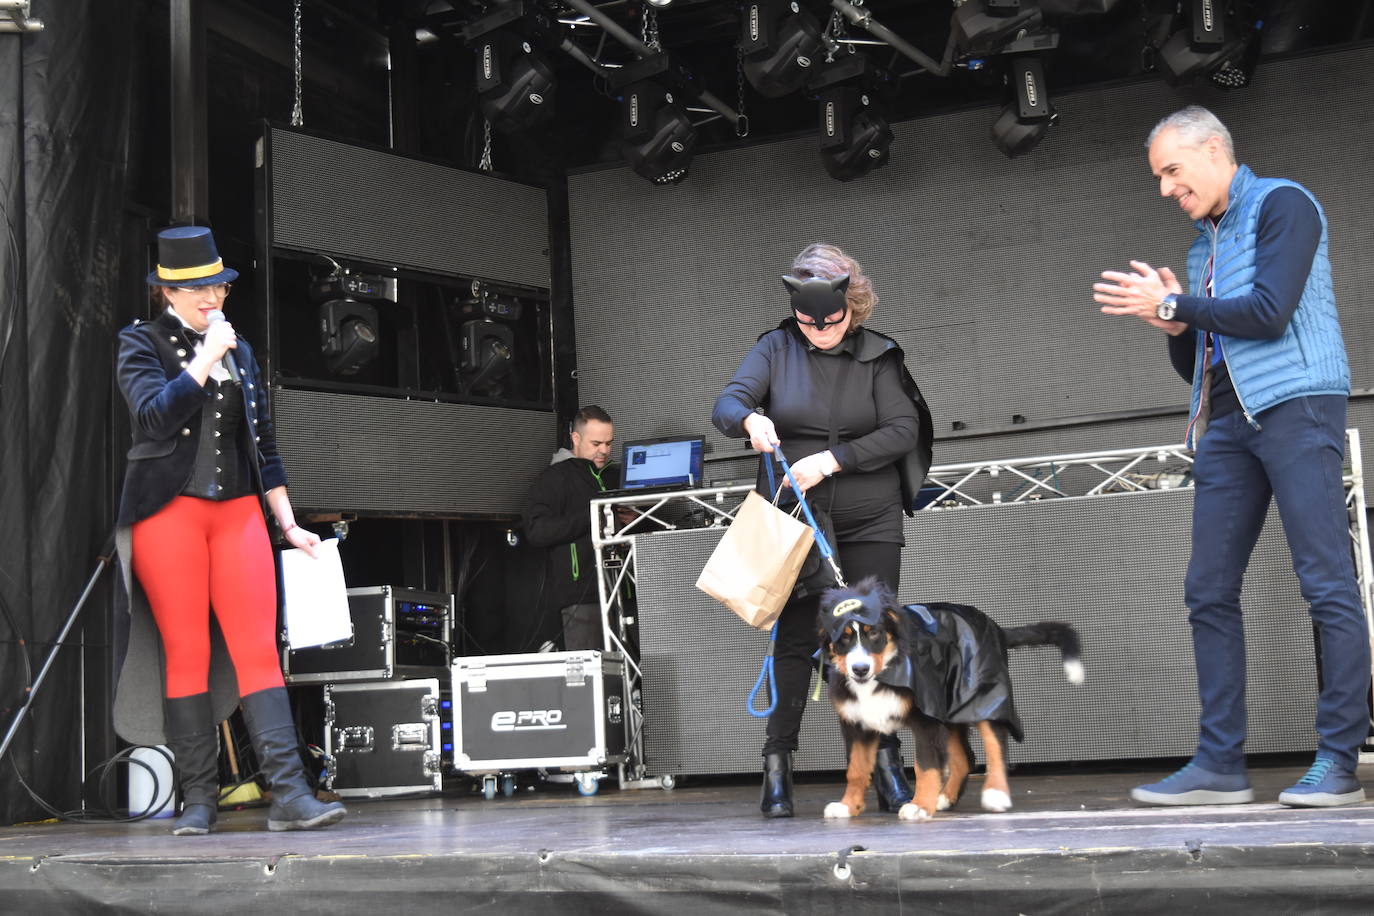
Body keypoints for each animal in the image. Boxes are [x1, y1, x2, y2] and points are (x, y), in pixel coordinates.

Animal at [818, 576, 1077, 818]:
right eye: (843, 638)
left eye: (874, 634)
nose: (860, 669)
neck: (882, 674)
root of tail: (994, 626)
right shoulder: (857, 724)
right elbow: (856, 769)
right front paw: (848, 806)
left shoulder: (927, 719)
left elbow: (925, 766)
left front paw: (920, 806)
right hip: (950, 707)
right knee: (965, 758)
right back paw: (945, 798)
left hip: (982, 697)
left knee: (996, 744)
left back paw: (996, 793)